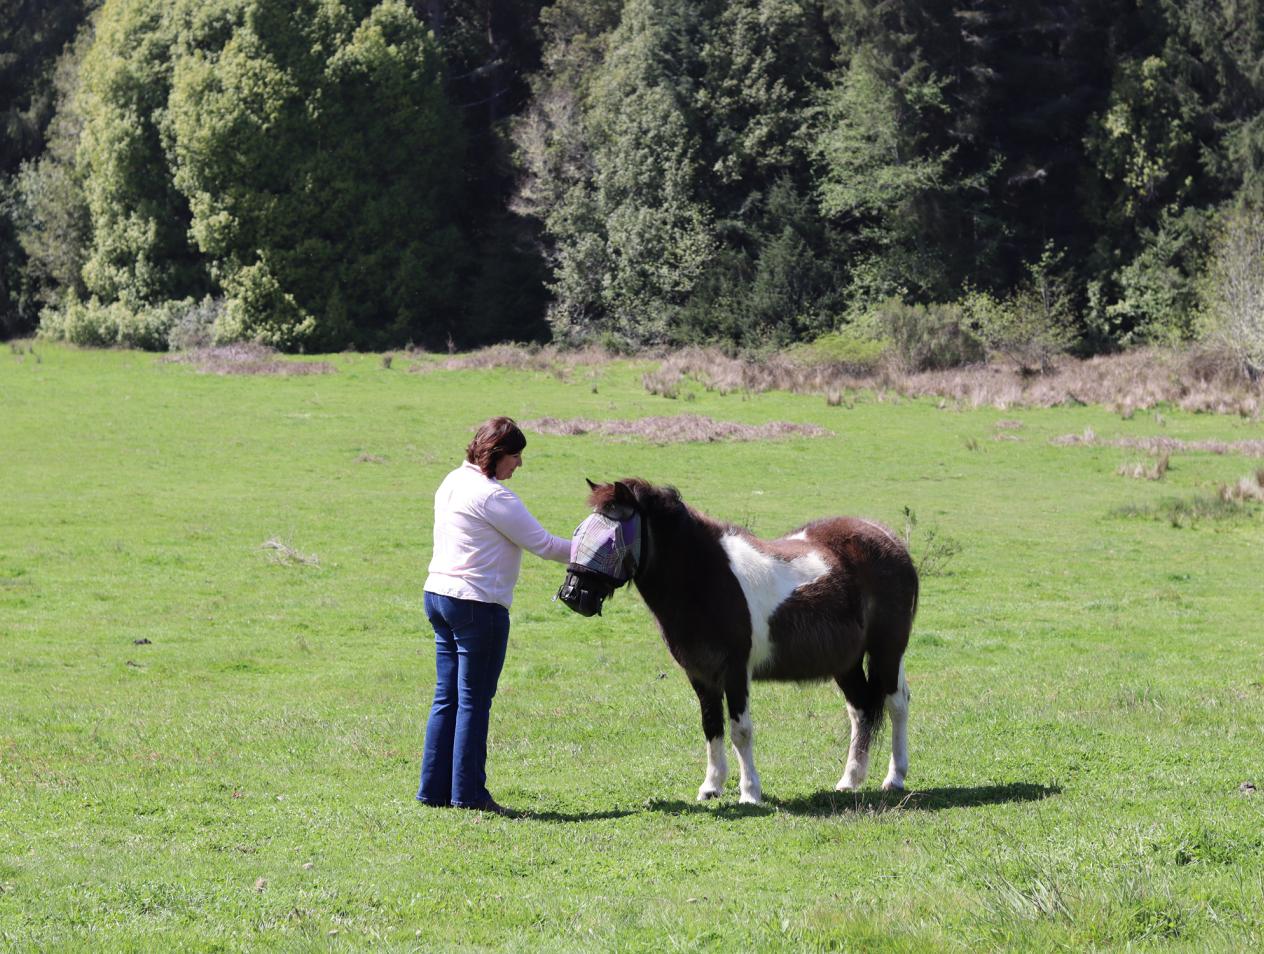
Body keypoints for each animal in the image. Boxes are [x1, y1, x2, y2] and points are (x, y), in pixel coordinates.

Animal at [563, 480, 920, 803]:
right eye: (580, 532)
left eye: (609, 537)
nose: (573, 594)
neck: (705, 579)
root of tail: (888, 538)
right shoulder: (701, 675)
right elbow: (712, 727)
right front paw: (711, 787)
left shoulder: (735, 672)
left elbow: (741, 731)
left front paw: (749, 793)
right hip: (846, 663)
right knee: (860, 710)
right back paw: (850, 780)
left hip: (887, 651)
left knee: (897, 705)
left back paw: (894, 778)